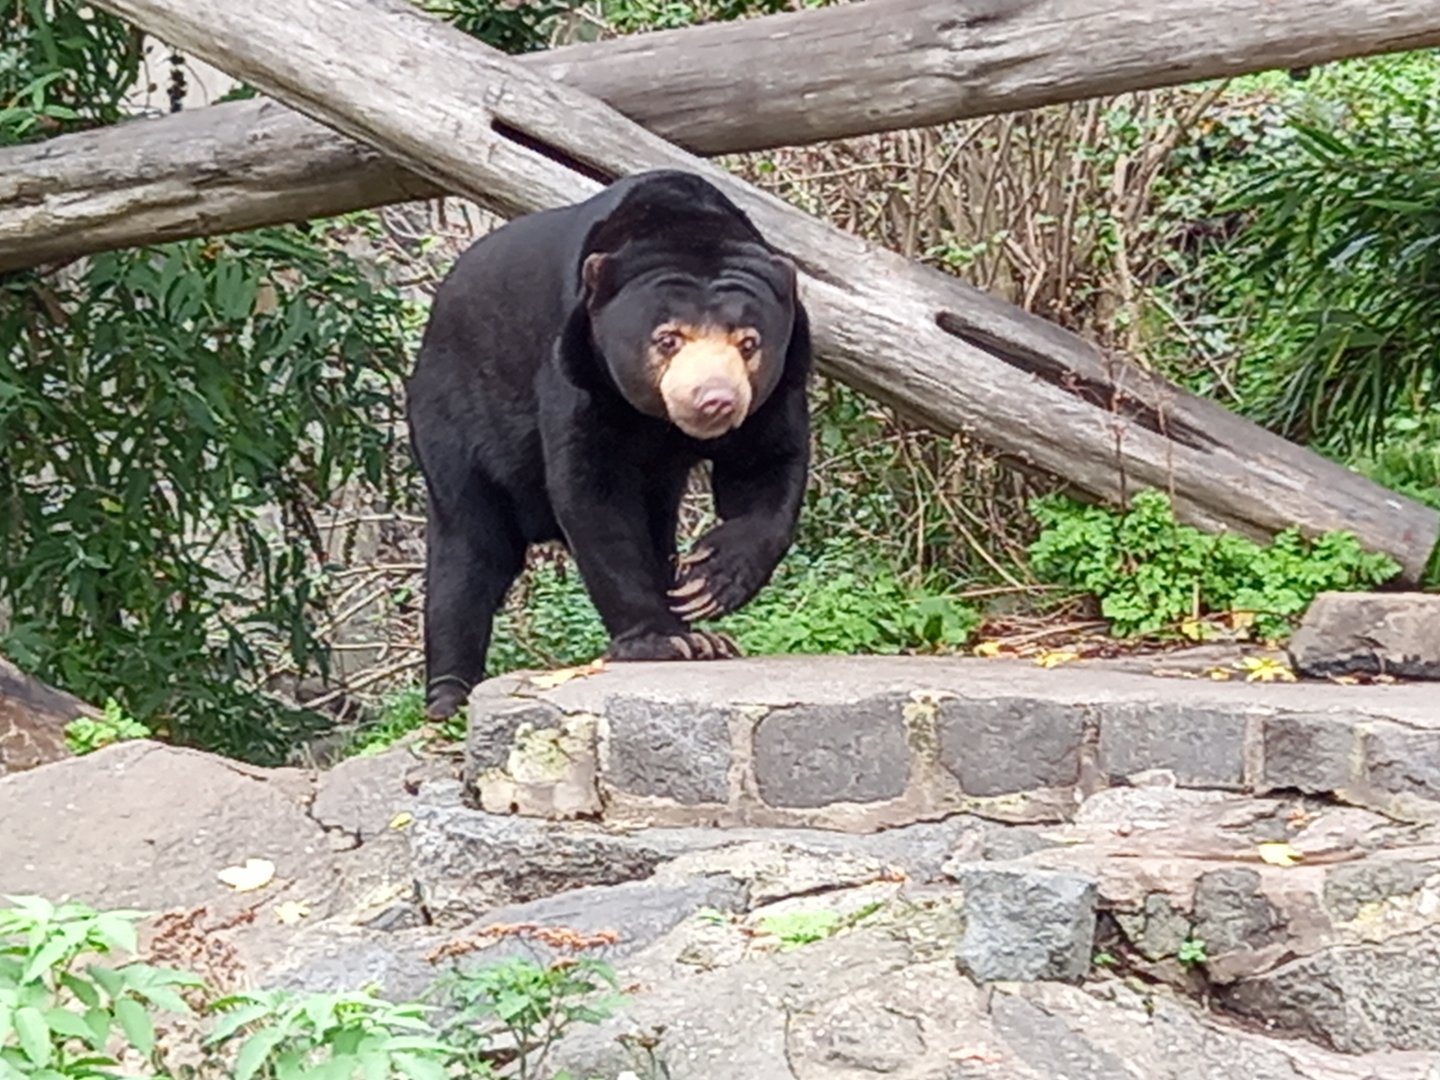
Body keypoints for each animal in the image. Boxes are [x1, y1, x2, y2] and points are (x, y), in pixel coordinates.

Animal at [404, 169, 813, 721]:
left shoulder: (778, 385)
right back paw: (448, 695)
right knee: (469, 551)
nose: (715, 401)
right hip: (450, 421)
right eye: (667, 338)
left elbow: (765, 464)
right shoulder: (577, 369)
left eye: (749, 342)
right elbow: (595, 495)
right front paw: (663, 640)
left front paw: (707, 583)